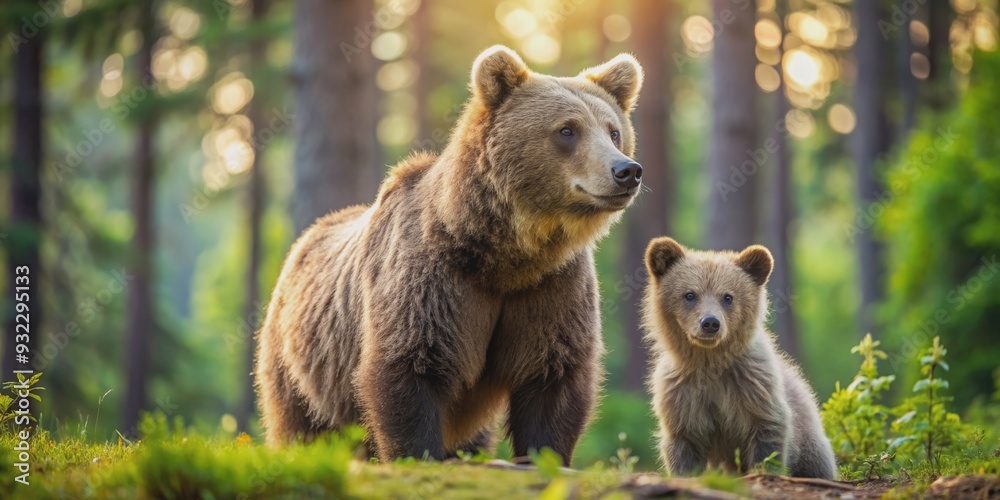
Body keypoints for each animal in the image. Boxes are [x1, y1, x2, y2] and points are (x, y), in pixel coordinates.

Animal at [254, 45, 645, 465]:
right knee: (300, 424)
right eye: (567, 130)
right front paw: (417, 453)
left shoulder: (551, 286)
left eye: (614, 130)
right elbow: (410, 366)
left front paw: (543, 455)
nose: (626, 170)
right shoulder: (433, 281)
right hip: (300, 361)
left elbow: (552, 375)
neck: (506, 254)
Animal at [642, 237, 837, 479]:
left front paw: (764, 468)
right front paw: (686, 473)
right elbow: (684, 441)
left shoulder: (754, 386)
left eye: (728, 296)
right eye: (689, 294)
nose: (710, 323)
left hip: (810, 438)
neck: (710, 361)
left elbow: (768, 433)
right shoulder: (681, 394)